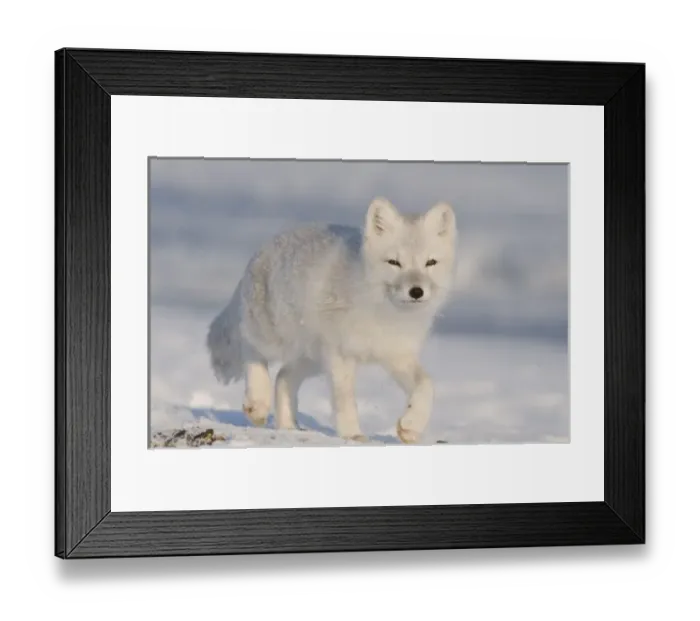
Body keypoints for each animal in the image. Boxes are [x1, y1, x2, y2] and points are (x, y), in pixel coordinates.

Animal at [206, 197, 457, 444]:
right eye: (394, 262)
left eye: (430, 263)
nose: (416, 291)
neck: (383, 311)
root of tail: (264, 248)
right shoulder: (341, 355)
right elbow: (345, 399)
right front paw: (352, 434)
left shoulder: (397, 354)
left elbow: (426, 386)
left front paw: (411, 426)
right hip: (274, 337)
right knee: (249, 347)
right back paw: (257, 403)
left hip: (313, 358)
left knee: (283, 377)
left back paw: (288, 427)